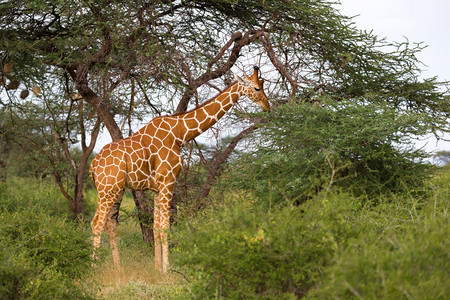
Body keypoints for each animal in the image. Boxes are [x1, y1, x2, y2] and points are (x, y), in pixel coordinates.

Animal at [89, 65, 268, 272]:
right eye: (256, 88)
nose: (267, 106)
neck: (179, 134)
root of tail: (93, 165)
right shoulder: (168, 181)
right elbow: (166, 227)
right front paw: (167, 269)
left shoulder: (157, 187)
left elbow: (156, 227)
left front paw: (157, 268)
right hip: (107, 190)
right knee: (96, 223)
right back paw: (93, 267)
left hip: (115, 191)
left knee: (110, 225)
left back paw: (118, 269)